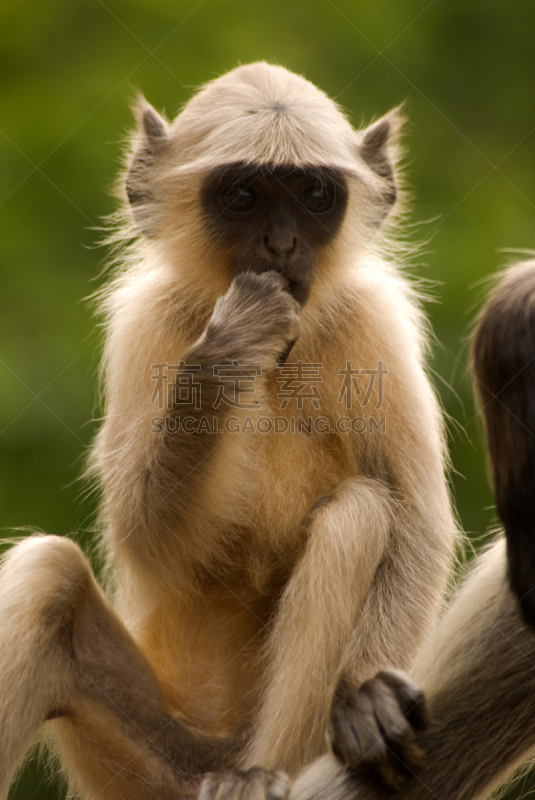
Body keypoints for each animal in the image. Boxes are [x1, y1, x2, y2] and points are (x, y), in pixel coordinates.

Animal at [0, 62, 492, 800]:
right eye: (242, 196)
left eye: (315, 195)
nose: (281, 243)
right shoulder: (146, 318)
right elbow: (146, 541)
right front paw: (229, 351)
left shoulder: (371, 315)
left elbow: (417, 519)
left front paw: (369, 694)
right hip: (157, 764)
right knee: (47, 573)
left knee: (359, 516)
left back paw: (261, 773)